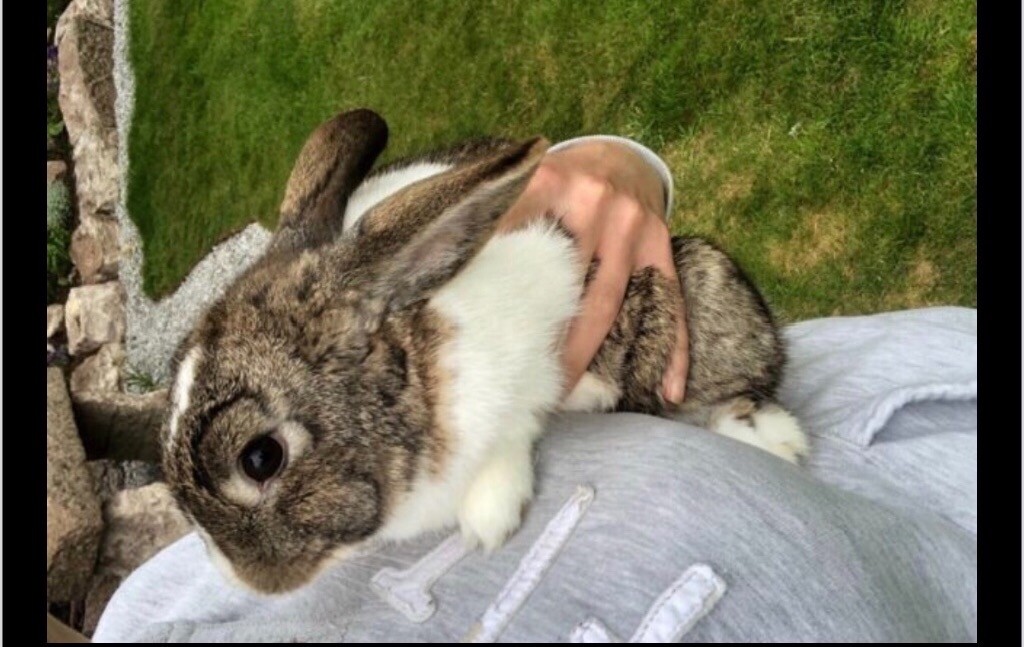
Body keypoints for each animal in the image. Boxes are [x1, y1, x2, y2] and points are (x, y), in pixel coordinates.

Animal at [163, 108, 808, 594]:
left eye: (260, 457)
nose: (251, 582)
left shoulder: (544, 324)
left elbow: (520, 417)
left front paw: (488, 517)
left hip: (699, 294)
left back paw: (779, 442)